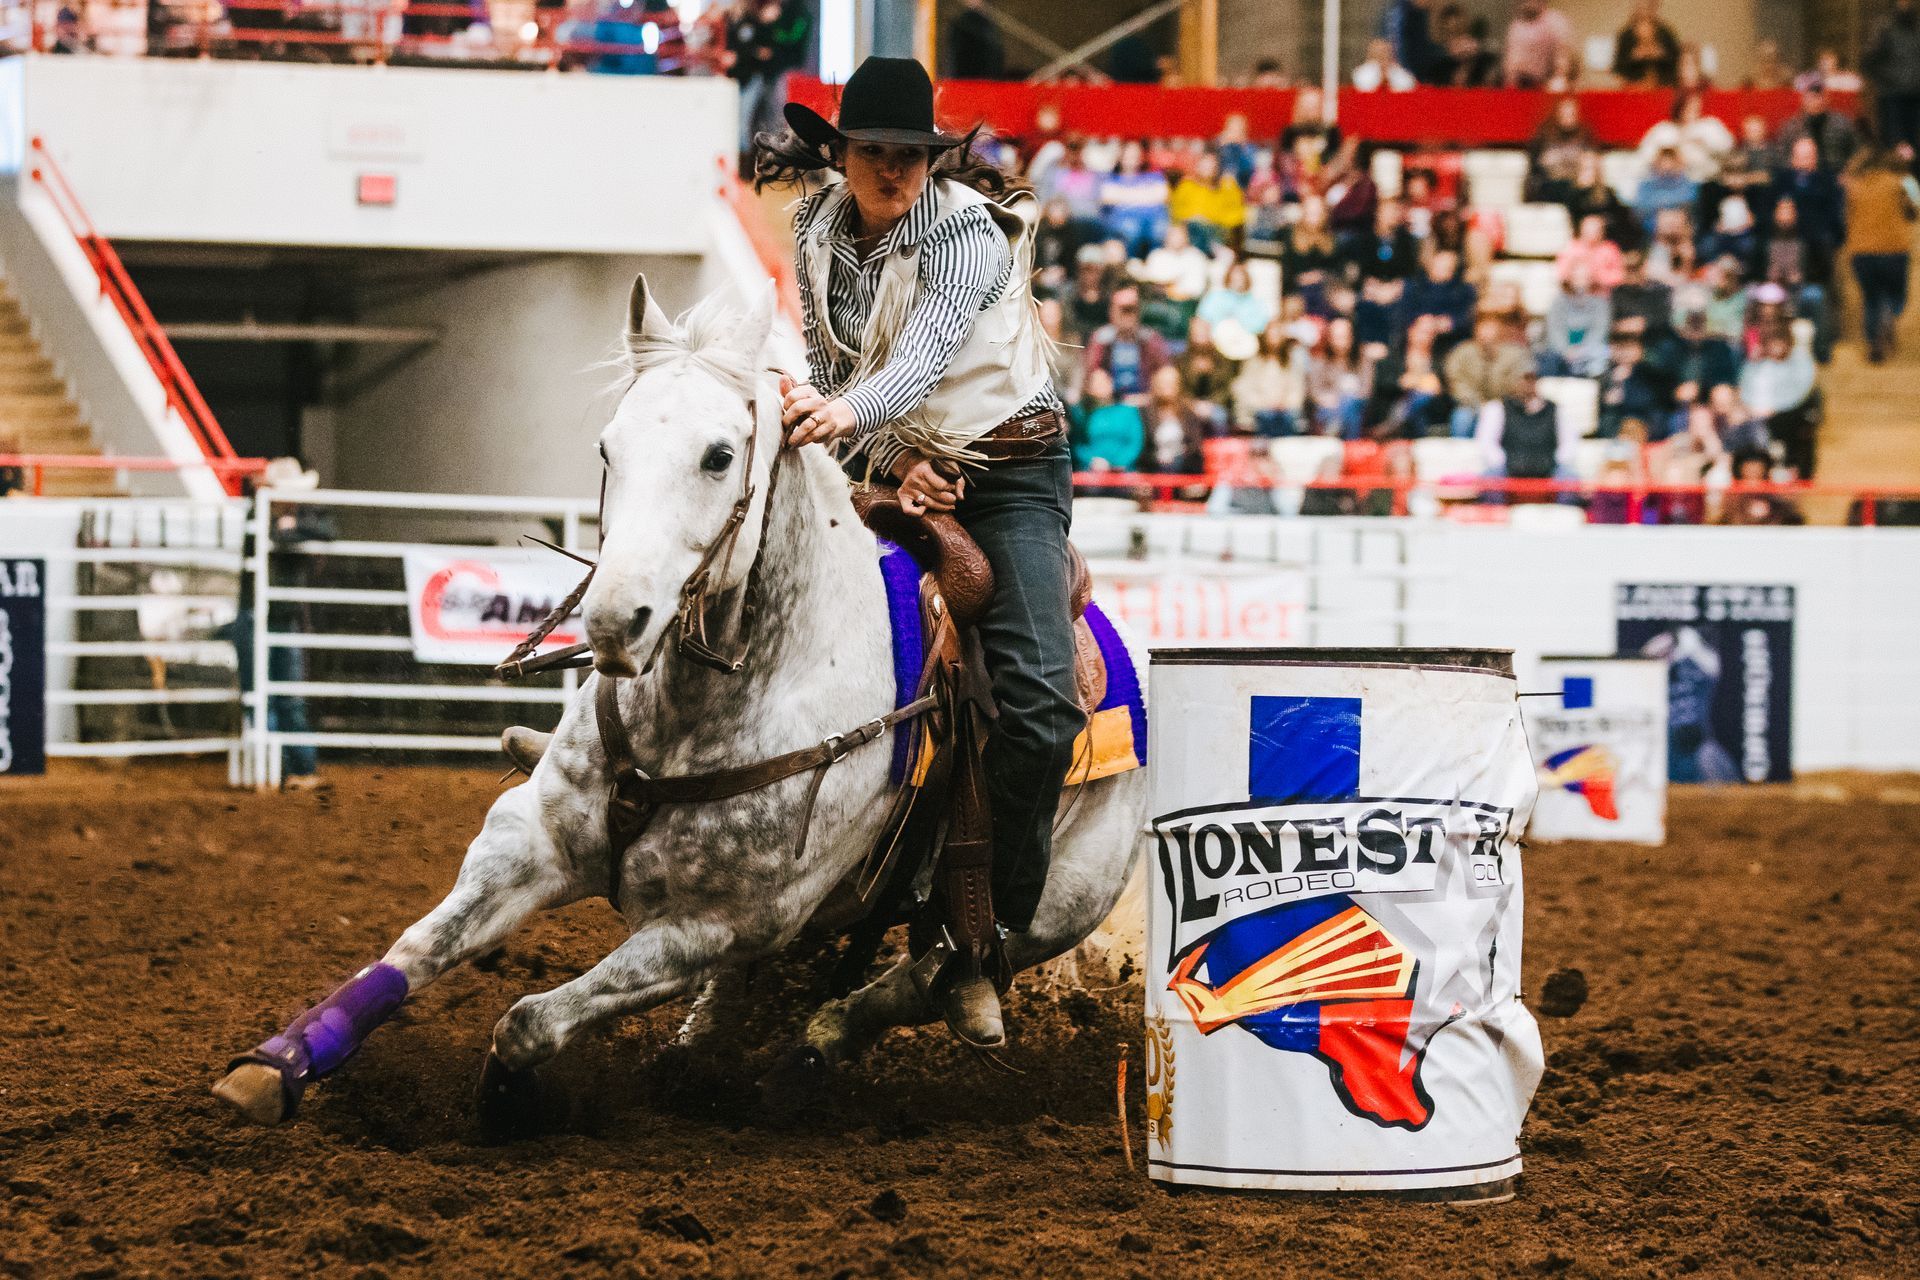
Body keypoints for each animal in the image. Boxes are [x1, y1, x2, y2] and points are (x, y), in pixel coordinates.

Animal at [214, 276, 1136, 1128]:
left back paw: (813, 1054)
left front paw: (507, 1100)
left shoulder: (719, 923)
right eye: (607, 447)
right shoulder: (529, 838)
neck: (707, 713)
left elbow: (531, 1020)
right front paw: (279, 1063)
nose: (615, 619)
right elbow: (417, 949)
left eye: (719, 456)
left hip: (1054, 909)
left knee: (917, 981)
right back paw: (699, 1054)